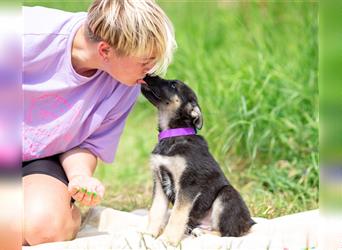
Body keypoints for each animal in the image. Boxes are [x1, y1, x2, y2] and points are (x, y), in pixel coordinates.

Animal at [140, 74, 255, 246]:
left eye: (173, 85)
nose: (148, 75)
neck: (174, 134)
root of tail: (250, 222)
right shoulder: (159, 182)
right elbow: (156, 211)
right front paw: (148, 235)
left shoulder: (188, 184)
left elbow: (176, 215)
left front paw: (167, 240)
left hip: (227, 195)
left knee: (228, 233)